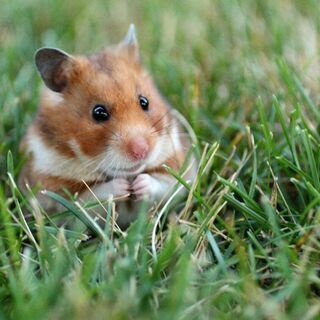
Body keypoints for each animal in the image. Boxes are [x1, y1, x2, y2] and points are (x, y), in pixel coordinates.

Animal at [20, 24, 196, 228]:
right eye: (98, 113)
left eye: (144, 101)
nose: (141, 151)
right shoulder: (52, 193)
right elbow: (89, 199)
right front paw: (123, 187)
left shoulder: (181, 168)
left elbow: (166, 184)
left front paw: (139, 185)